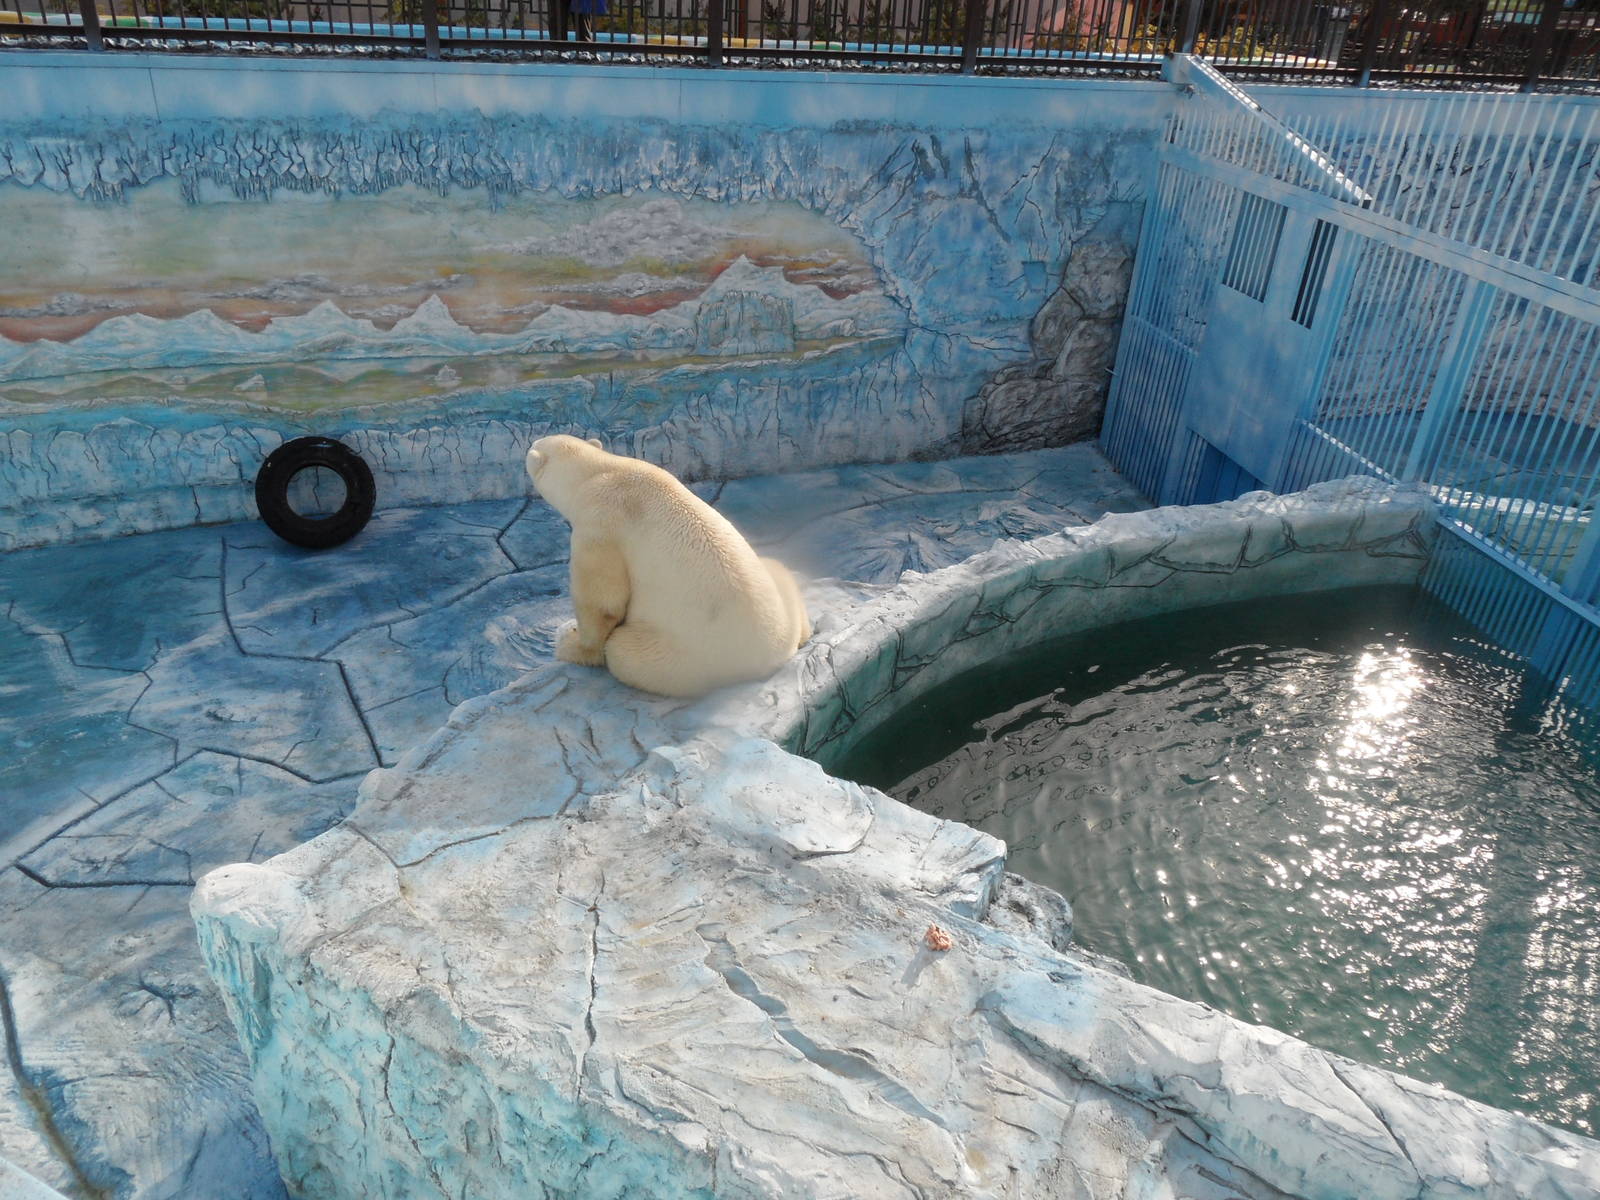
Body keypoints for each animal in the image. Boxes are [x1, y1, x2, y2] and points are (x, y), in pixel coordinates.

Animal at [526, 435, 812, 698]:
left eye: (534, 445)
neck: (601, 470)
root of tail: (776, 653)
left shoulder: (600, 521)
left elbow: (602, 601)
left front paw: (571, 644)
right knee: (777, 569)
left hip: (689, 655)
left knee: (623, 652)